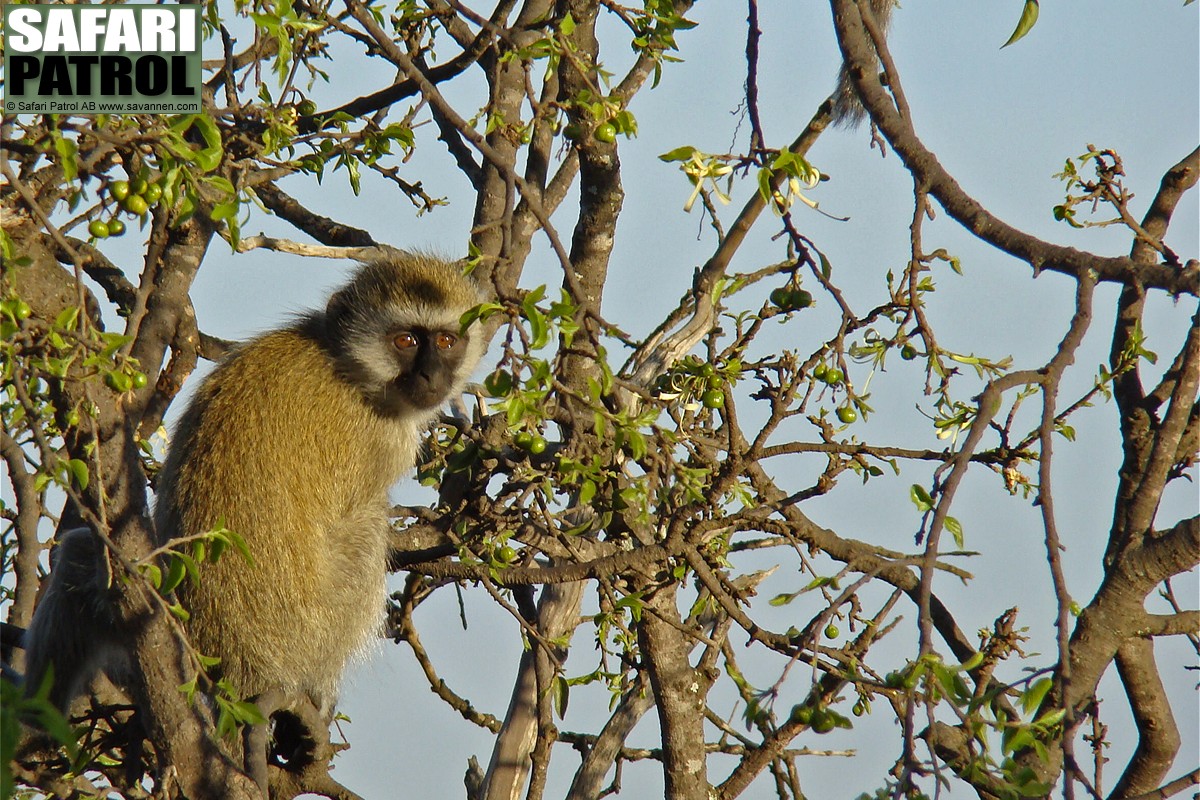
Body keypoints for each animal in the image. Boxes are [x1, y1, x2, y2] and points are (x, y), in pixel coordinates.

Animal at [23, 253, 484, 724]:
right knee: (367, 528)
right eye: (405, 340)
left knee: (79, 553)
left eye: (446, 341)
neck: (345, 364)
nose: (431, 375)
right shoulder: (385, 441)